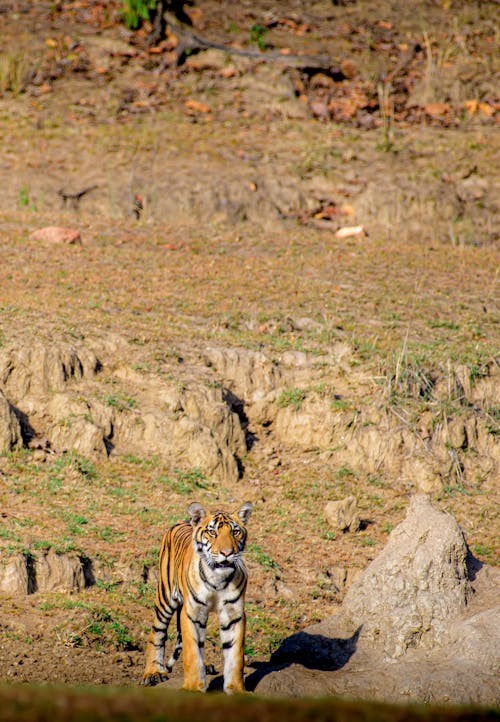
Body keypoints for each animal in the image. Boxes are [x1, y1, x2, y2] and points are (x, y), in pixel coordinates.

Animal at [141, 500, 252, 692]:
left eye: (235, 532)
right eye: (212, 532)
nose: (227, 553)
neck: (217, 578)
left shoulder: (233, 614)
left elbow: (235, 656)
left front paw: (236, 690)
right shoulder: (192, 613)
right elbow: (192, 651)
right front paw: (193, 688)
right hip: (165, 598)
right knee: (157, 634)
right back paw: (154, 673)